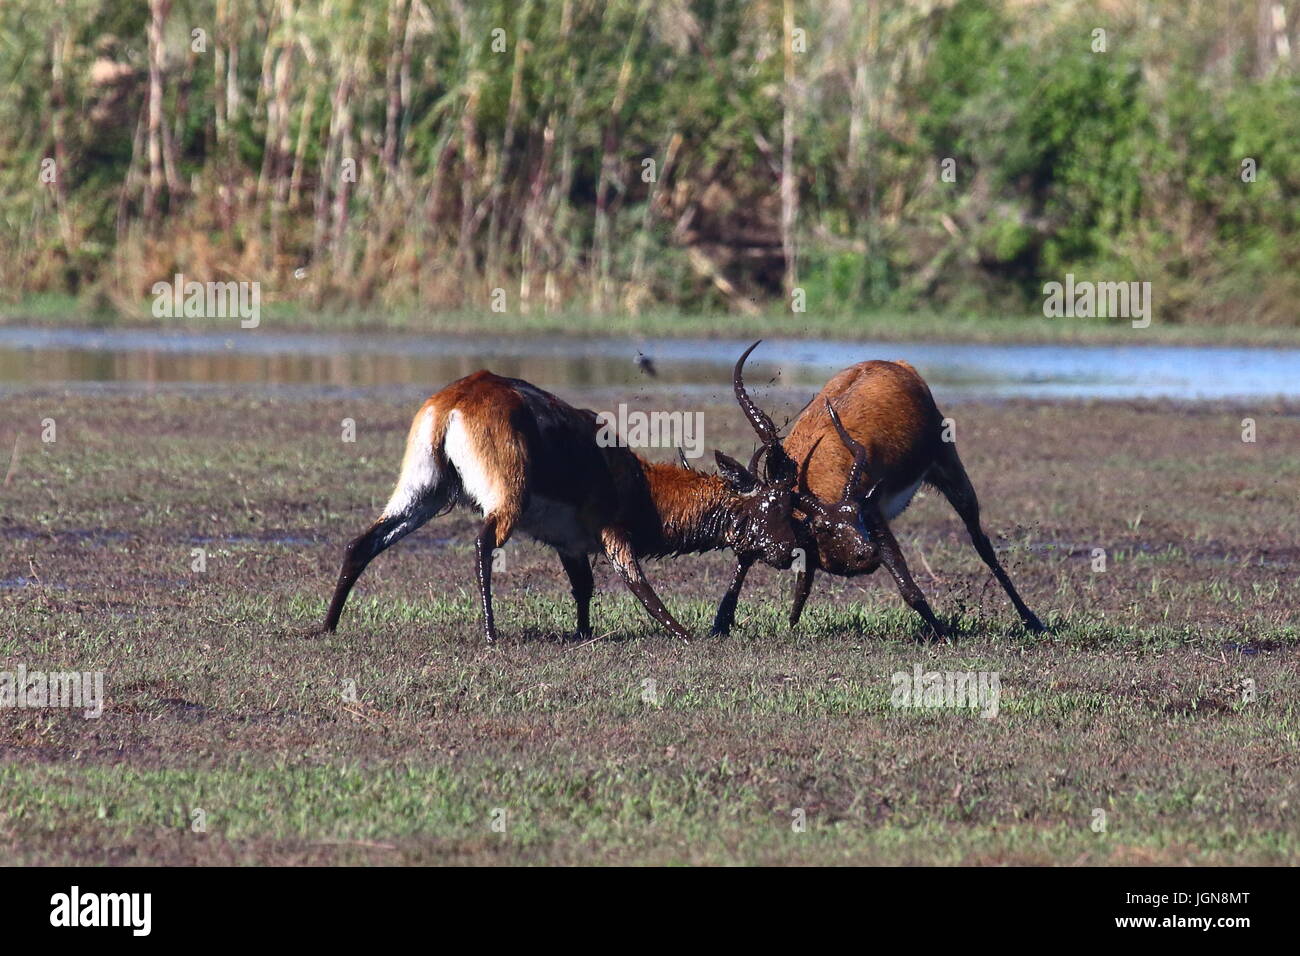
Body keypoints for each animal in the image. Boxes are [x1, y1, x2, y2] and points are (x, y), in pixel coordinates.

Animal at [317, 343, 800, 642]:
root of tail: (457, 399)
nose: (789, 551)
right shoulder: (612, 533)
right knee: (482, 545)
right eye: (776, 504)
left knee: (361, 543)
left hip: (424, 494)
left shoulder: (570, 543)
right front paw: (685, 634)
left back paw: (327, 626)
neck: (638, 482)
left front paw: (583, 634)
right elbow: (637, 582)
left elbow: (583, 587)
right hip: (504, 503)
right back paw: (491, 634)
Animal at [707, 348, 1050, 639]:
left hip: (950, 469)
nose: (866, 552)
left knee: (982, 544)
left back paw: (1033, 621)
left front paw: (942, 631)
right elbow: (763, 566)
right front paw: (723, 624)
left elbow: (903, 578)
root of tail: (899, 365)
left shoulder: (873, 514)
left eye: (856, 515)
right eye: (821, 527)